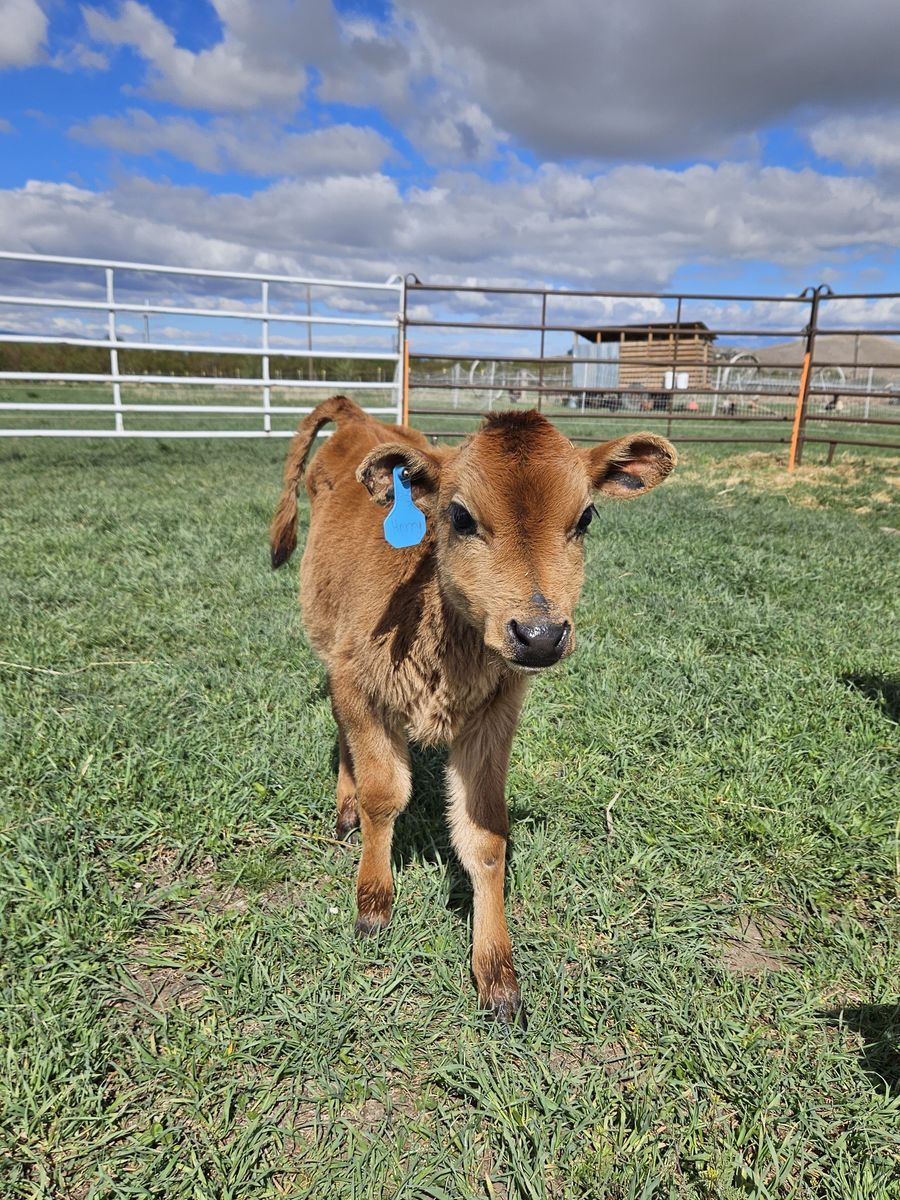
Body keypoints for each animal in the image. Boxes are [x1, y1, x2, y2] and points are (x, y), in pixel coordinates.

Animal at [270, 395, 676, 1023]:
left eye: (585, 517)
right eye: (460, 517)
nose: (539, 635)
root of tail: (358, 417)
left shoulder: (492, 719)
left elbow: (485, 836)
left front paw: (497, 973)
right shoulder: (358, 685)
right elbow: (384, 794)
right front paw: (373, 901)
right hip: (326, 647)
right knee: (343, 737)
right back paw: (345, 808)